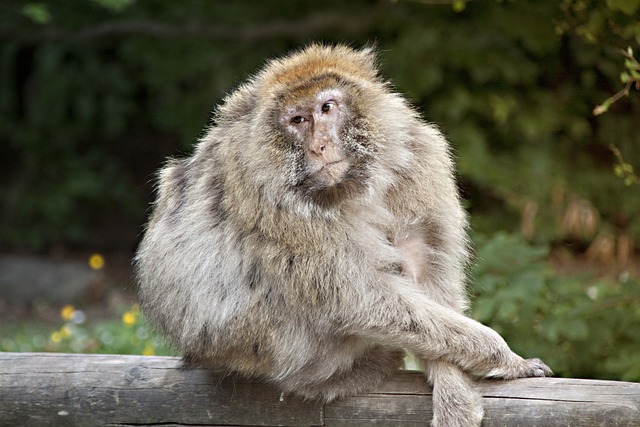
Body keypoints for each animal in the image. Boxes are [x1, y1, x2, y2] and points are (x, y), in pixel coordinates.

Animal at [134, 44, 552, 427]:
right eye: (297, 119)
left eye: (326, 108)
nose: (320, 145)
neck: (353, 187)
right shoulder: (271, 200)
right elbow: (353, 296)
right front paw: (500, 355)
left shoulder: (418, 158)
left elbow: (422, 265)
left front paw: (454, 390)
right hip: (246, 343)